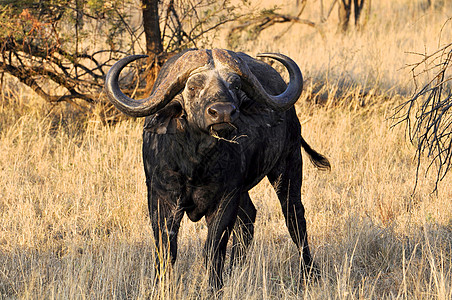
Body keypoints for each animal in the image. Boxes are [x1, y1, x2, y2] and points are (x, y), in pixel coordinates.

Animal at [106, 48, 332, 290]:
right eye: (193, 87)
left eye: (235, 86)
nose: (222, 112)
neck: (196, 162)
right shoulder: (161, 198)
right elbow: (166, 249)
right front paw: (161, 287)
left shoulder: (226, 197)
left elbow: (213, 249)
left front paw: (215, 287)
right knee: (249, 217)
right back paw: (235, 269)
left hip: (288, 164)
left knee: (294, 217)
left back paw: (309, 273)